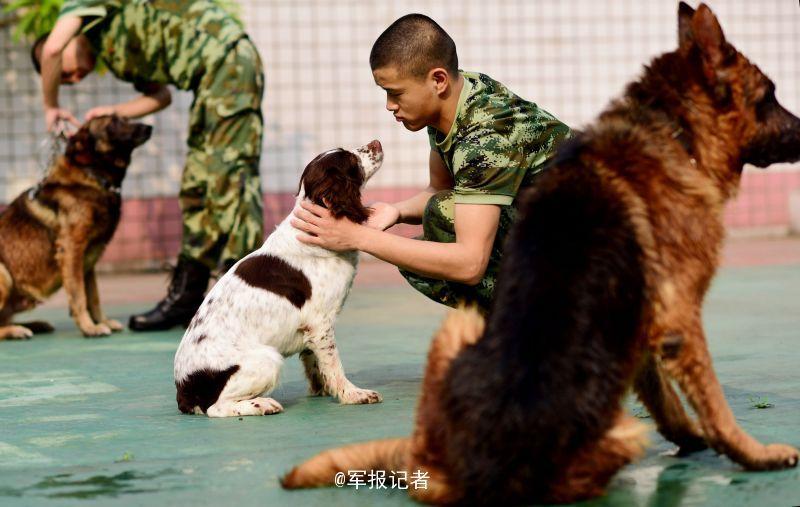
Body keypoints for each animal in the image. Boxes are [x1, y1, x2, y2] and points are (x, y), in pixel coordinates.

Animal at [0, 116, 152, 342]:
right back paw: (16, 330)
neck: (92, 177)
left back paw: (35, 325)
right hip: (3, 274)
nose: (149, 127)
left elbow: (93, 297)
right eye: (113, 122)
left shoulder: (88, 261)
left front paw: (102, 322)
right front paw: (90, 328)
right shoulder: (72, 250)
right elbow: (79, 295)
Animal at [174, 141, 384, 418]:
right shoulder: (320, 324)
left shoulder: (310, 331)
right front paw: (353, 394)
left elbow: (315, 362)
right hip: (267, 359)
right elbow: (334, 365)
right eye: (350, 159)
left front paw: (322, 390)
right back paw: (262, 404)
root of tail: (184, 389)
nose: (376, 143)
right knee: (216, 408)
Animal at [282, 2, 800, 504]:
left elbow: (670, 401)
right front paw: (754, 454)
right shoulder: (678, 315)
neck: (673, 136)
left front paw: (692, 440)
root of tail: (451, 463)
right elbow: (714, 405)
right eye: (771, 95)